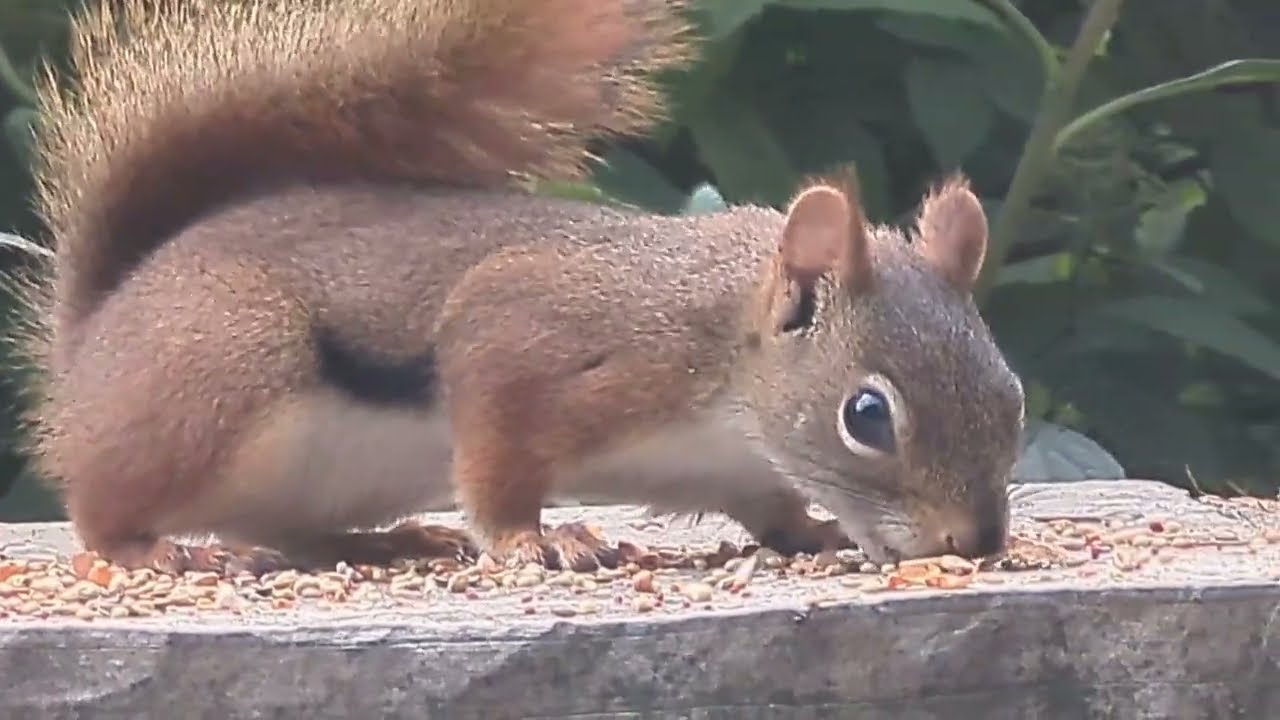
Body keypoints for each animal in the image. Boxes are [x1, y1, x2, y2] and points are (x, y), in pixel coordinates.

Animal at [14, 0, 1026, 575]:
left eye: (1012, 398)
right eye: (867, 415)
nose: (976, 540)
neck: (727, 378)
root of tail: (93, 339)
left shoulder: (731, 465)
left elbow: (771, 508)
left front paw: (812, 529)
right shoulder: (524, 331)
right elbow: (498, 463)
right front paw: (533, 539)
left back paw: (386, 542)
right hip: (218, 374)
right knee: (102, 507)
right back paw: (154, 546)